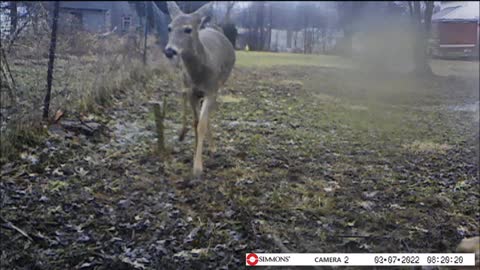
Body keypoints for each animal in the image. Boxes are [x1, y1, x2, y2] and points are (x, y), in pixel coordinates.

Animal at [165, 1, 236, 177]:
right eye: (169, 28)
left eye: (188, 29)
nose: (169, 50)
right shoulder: (192, 91)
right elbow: (196, 122)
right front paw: (194, 155)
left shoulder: (211, 90)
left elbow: (202, 124)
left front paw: (198, 168)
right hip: (184, 80)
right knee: (182, 95)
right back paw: (182, 134)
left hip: (219, 84)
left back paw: (212, 147)